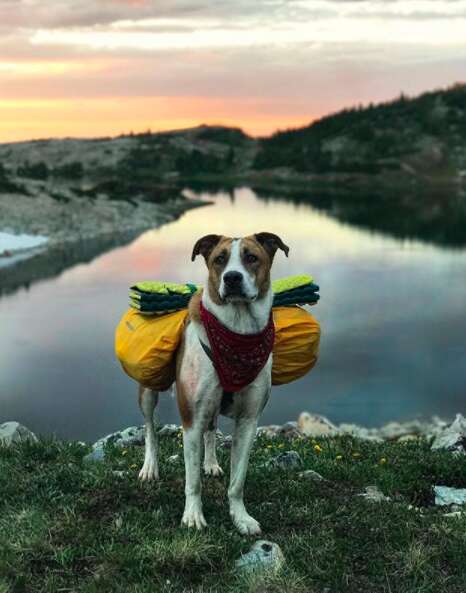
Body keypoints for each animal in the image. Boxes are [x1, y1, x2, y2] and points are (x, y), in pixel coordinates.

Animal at [137, 234, 288, 536]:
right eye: (219, 259)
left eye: (251, 257)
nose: (232, 278)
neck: (237, 332)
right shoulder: (191, 419)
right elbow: (192, 480)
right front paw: (193, 516)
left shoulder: (249, 420)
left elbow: (238, 480)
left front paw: (241, 517)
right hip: (148, 390)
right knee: (150, 427)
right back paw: (150, 467)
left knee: (211, 428)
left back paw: (211, 463)